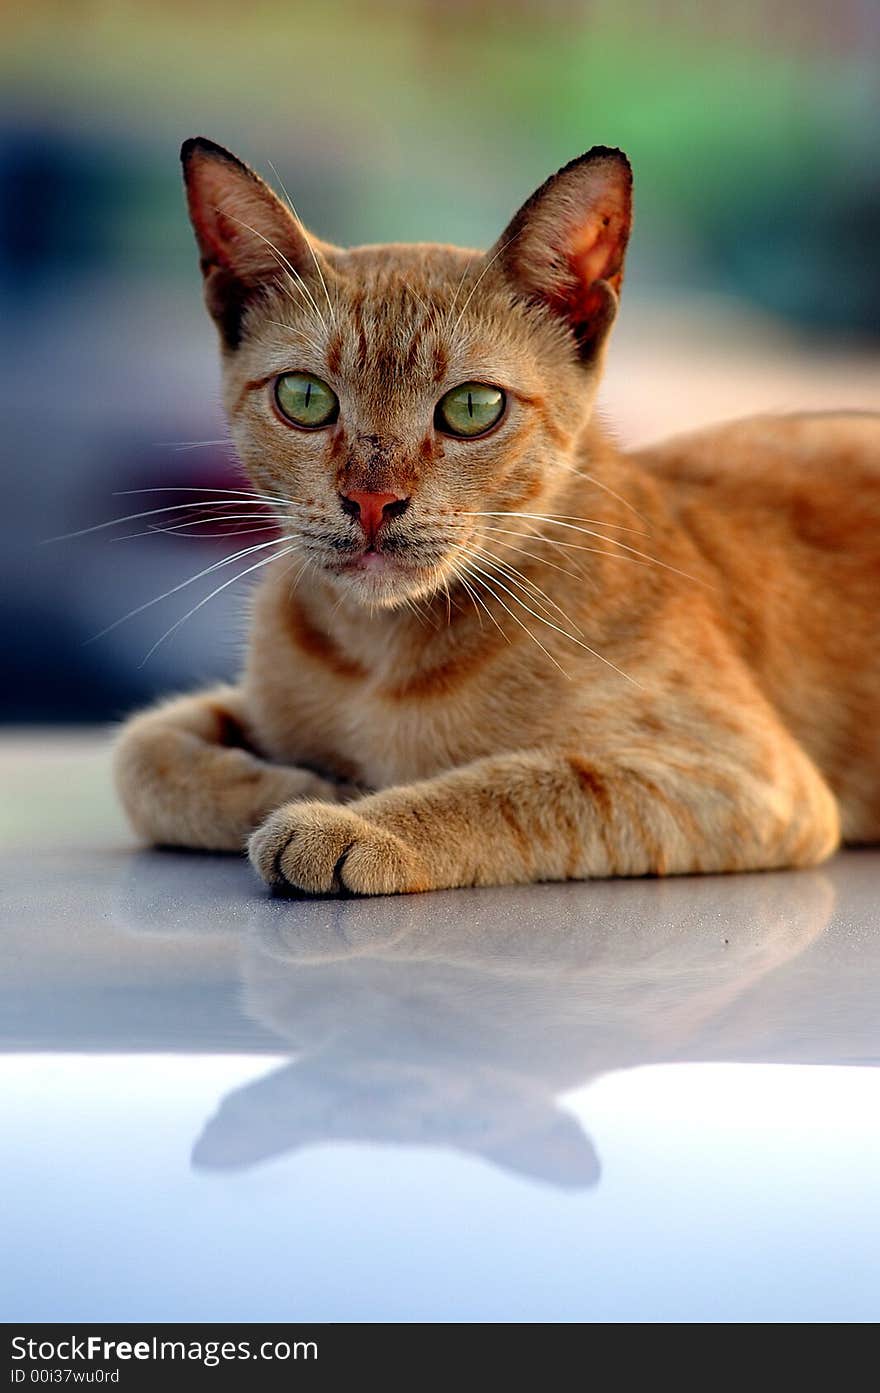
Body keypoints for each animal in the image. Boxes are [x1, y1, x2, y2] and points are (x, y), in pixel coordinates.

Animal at [113, 138, 874, 891]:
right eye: (304, 398)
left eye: (473, 408)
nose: (371, 500)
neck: (379, 659)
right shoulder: (242, 704)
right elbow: (141, 753)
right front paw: (308, 784)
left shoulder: (739, 777)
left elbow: (517, 787)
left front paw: (352, 820)